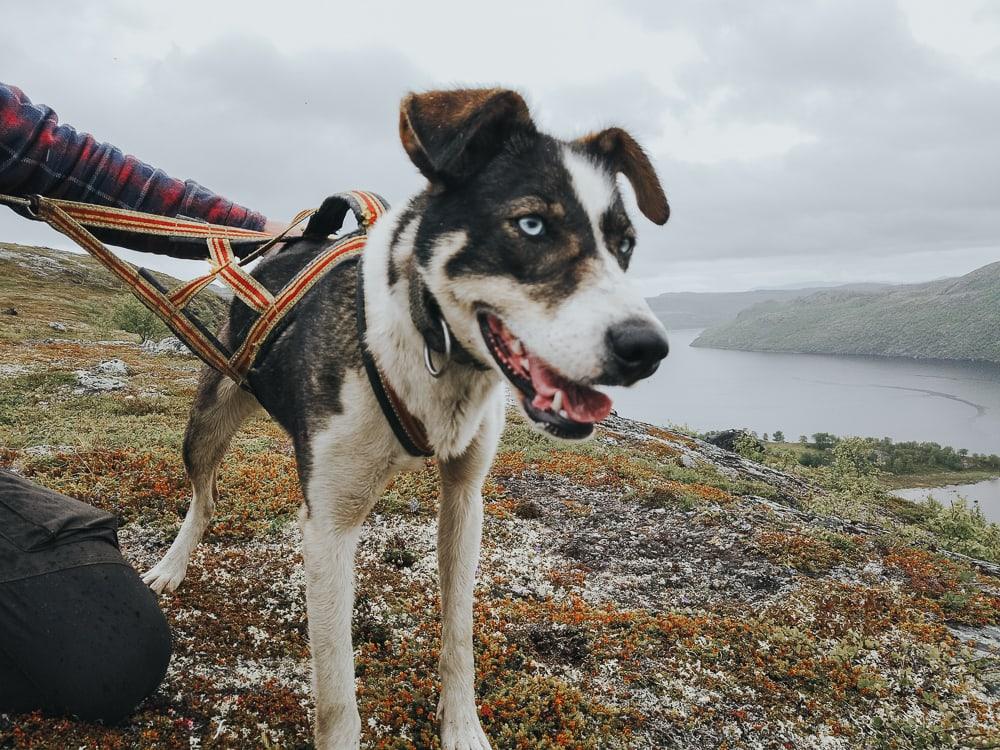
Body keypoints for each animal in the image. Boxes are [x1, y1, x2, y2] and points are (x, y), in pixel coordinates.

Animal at [141, 89, 672, 750]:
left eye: (624, 244)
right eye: (532, 224)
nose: (647, 348)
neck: (430, 345)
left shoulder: (465, 499)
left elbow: (459, 633)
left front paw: (462, 727)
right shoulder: (330, 526)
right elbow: (337, 695)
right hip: (210, 416)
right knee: (205, 496)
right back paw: (172, 565)